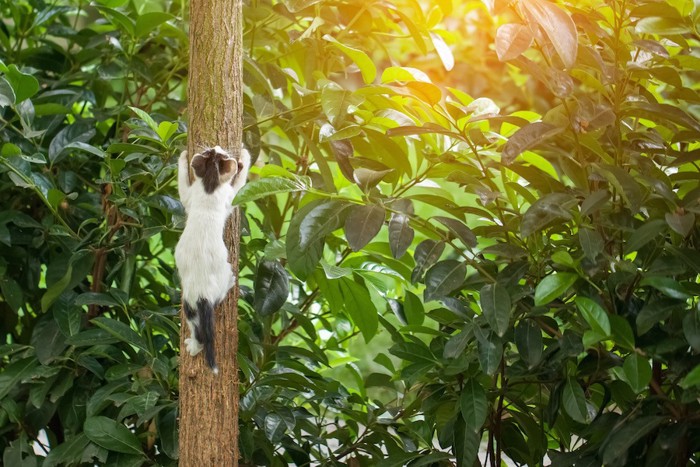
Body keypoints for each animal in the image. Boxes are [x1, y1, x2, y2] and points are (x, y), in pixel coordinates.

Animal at [176, 144, 250, 374]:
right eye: (219, 153)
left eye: (212, 152)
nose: (216, 146)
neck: (210, 184)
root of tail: (202, 295)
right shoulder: (229, 196)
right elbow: (240, 184)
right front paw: (246, 156)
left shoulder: (191, 195)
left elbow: (182, 188)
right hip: (224, 270)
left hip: (189, 304)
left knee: (197, 327)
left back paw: (193, 345)